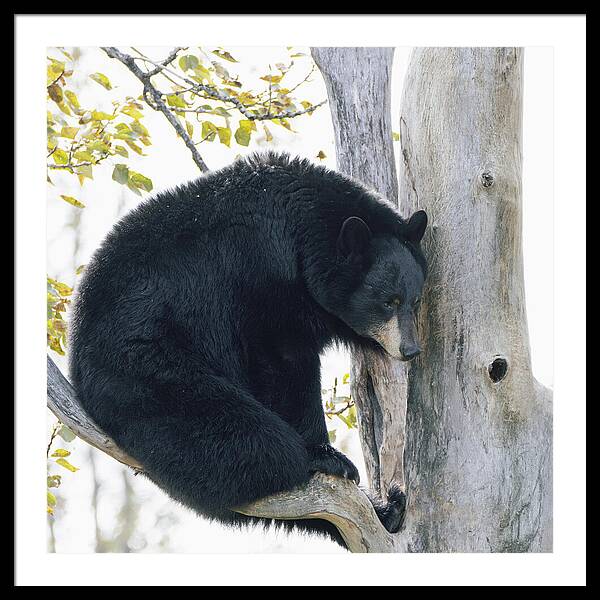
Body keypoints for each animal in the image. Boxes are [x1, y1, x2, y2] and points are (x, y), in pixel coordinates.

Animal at [69, 151, 426, 548]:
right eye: (388, 301)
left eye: (415, 300)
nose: (410, 350)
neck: (302, 235)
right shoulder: (260, 277)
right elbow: (282, 362)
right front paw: (325, 452)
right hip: (146, 368)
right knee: (250, 440)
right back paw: (307, 462)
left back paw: (388, 509)